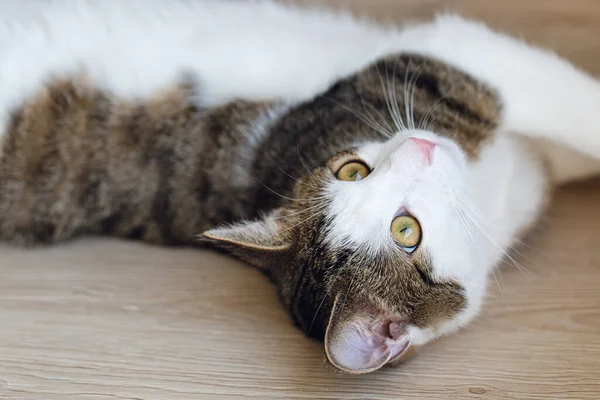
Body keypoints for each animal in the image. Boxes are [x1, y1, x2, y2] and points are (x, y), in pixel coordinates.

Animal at [3, 0, 600, 376]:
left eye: (352, 170)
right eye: (405, 231)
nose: (417, 144)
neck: (488, 193)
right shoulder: (454, 61)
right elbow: (572, 102)